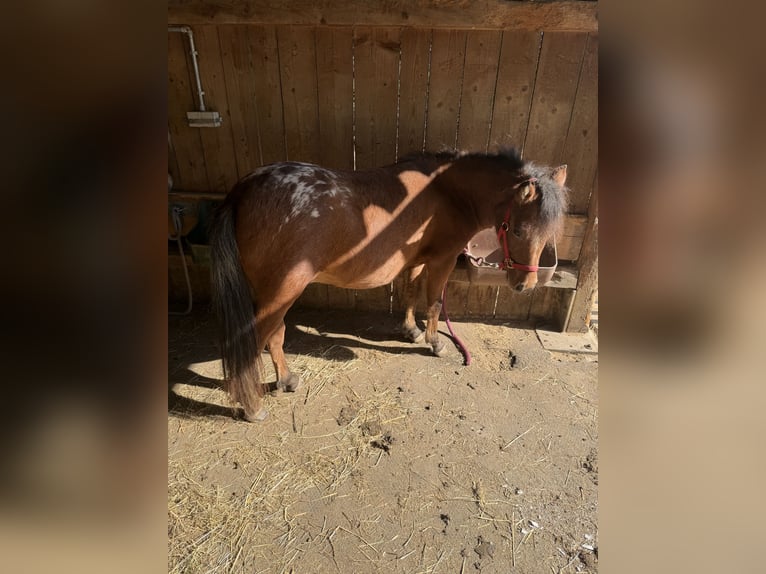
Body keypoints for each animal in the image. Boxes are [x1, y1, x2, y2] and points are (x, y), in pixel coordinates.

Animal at [209, 149, 568, 421]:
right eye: (518, 230)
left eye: (549, 233)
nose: (526, 284)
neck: (445, 192)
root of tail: (246, 188)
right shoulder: (442, 261)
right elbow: (434, 302)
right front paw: (434, 342)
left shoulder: (417, 260)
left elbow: (410, 293)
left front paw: (410, 330)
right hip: (282, 291)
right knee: (255, 342)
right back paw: (252, 407)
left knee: (275, 334)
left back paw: (285, 380)